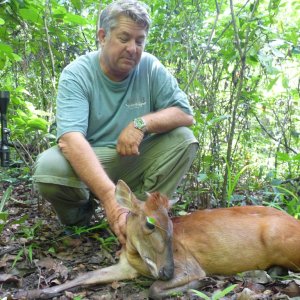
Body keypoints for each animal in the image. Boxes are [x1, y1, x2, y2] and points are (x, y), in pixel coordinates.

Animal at [13, 179, 300, 298]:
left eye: (171, 222)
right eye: (150, 223)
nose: (167, 271)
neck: (136, 257)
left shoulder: (190, 265)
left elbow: (154, 289)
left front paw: (198, 285)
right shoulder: (124, 266)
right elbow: (83, 276)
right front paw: (31, 292)